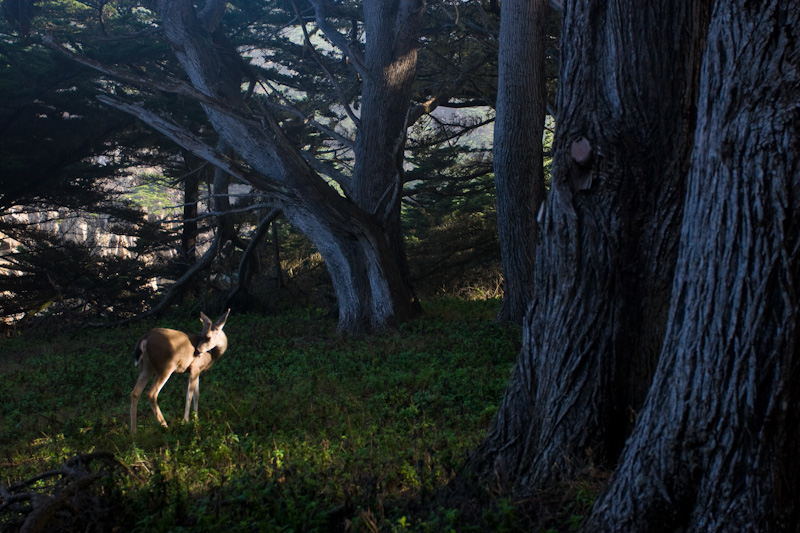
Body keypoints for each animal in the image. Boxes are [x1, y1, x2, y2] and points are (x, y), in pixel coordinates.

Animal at [128, 308, 228, 436]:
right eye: (202, 335)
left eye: (208, 337)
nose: (197, 351)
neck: (212, 355)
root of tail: (144, 339)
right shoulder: (195, 367)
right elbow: (189, 394)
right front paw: (186, 421)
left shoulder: (198, 371)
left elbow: (197, 395)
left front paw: (197, 419)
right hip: (166, 367)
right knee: (151, 393)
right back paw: (165, 425)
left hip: (146, 367)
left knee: (135, 393)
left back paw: (133, 432)